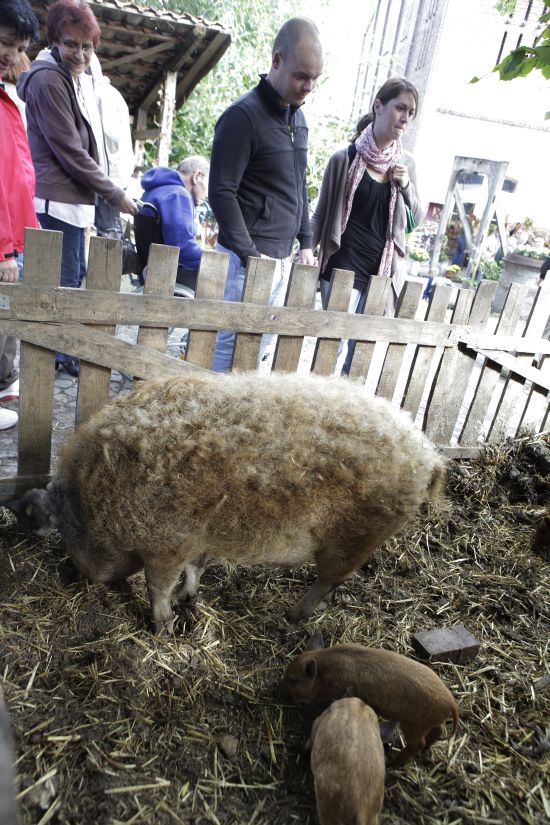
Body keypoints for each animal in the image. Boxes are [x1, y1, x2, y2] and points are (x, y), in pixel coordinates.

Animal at [8, 371, 446, 634]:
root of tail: (428, 455)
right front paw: (189, 600)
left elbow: (157, 587)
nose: (77, 575)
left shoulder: (164, 543)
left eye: (67, 538)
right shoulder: (195, 537)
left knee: (327, 580)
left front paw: (164, 628)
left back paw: (293, 617)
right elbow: (195, 569)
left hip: (355, 537)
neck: (96, 501)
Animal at [280, 643, 458, 766]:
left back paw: (392, 762)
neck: (324, 674)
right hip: (428, 722)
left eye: (293, 680)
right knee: (438, 731)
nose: (277, 691)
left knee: (417, 743)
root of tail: (451, 702)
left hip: (414, 724)